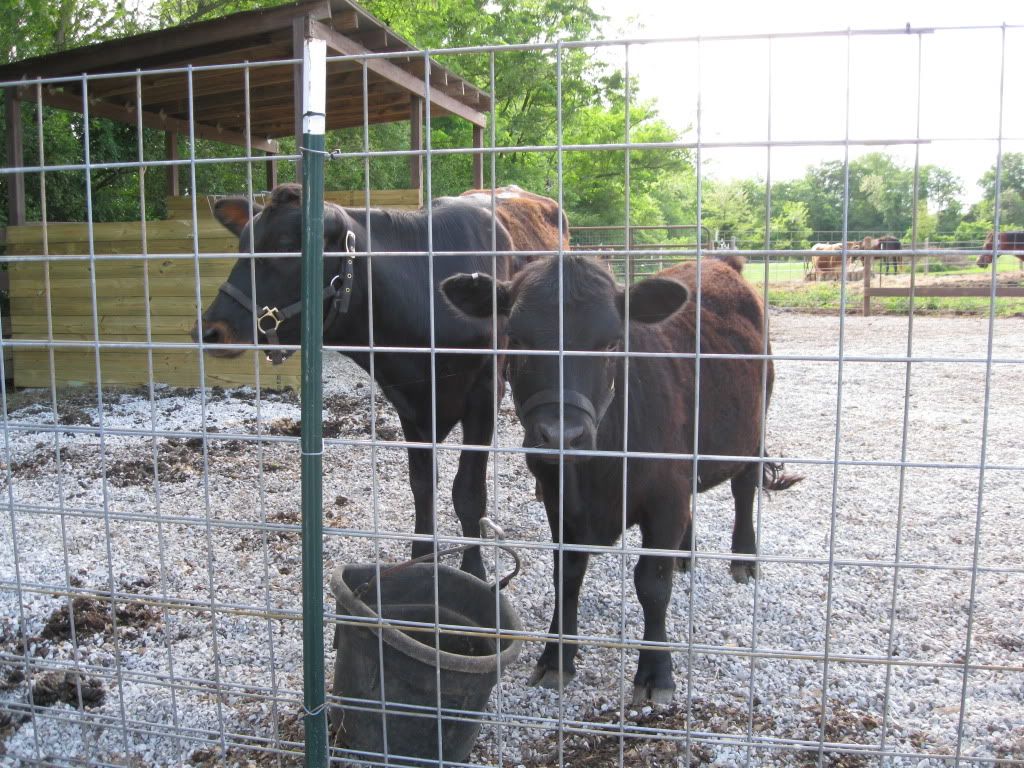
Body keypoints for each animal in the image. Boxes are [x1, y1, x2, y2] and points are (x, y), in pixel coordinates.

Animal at [192, 182, 529, 579]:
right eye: (243, 244)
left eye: (287, 246)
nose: (210, 330)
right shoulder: (408, 402)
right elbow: (422, 486)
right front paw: (421, 560)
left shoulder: (484, 392)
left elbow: (468, 491)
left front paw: (473, 570)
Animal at [441, 254, 800, 704]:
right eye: (518, 339)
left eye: (612, 343)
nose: (562, 436)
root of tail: (721, 261)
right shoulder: (559, 501)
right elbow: (567, 576)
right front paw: (556, 657)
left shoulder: (664, 500)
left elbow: (652, 584)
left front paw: (655, 673)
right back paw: (686, 552)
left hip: (752, 429)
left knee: (743, 489)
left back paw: (744, 559)